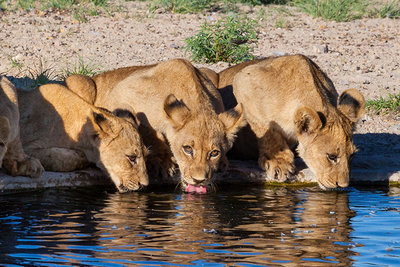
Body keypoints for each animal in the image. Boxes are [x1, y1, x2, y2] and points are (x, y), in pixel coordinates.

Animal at [65, 58, 244, 194]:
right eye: (187, 149)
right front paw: (164, 161)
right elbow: (149, 129)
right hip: (79, 81)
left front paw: (223, 162)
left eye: (214, 153)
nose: (198, 180)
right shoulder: (121, 95)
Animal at [230, 54, 368, 189]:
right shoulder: (243, 80)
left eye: (352, 155)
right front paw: (278, 162)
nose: (343, 185)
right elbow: (266, 129)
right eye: (331, 156)